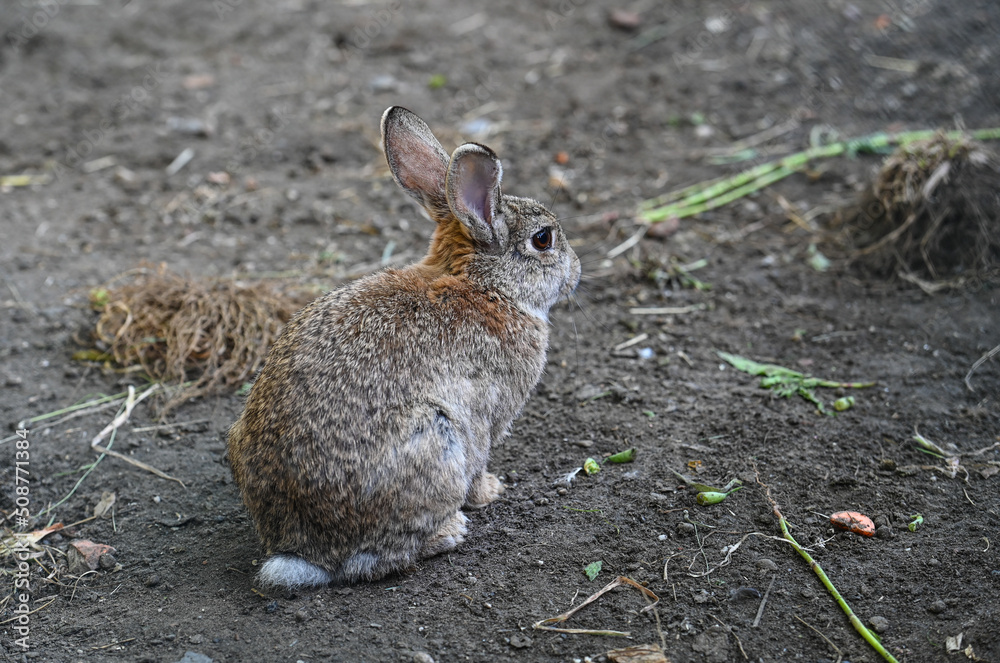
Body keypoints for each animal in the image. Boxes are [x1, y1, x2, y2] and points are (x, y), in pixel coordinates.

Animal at [227, 106, 580, 590]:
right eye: (543, 239)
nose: (576, 270)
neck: (487, 287)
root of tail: (306, 552)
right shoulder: (485, 419)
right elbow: (480, 461)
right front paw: (490, 491)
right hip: (437, 439)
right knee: (378, 560)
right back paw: (450, 531)